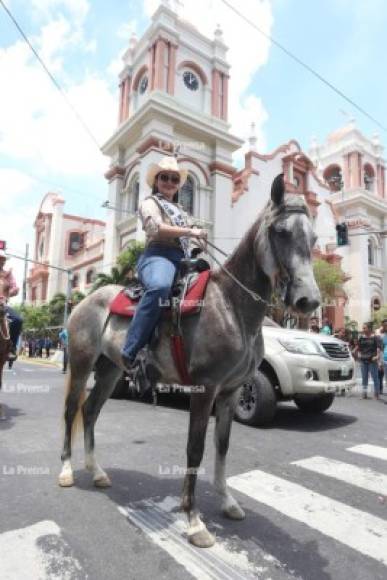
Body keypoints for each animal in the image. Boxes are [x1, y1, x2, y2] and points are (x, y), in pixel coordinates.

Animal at [58, 176, 322, 548]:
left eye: (313, 238)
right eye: (281, 231)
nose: (308, 300)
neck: (231, 307)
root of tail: (85, 301)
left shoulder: (230, 392)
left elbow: (222, 446)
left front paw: (227, 501)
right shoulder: (204, 389)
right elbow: (194, 449)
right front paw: (194, 520)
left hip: (110, 371)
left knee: (90, 411)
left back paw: (96, 471)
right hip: (82, 365)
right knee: (71, 411)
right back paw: (67, 470)